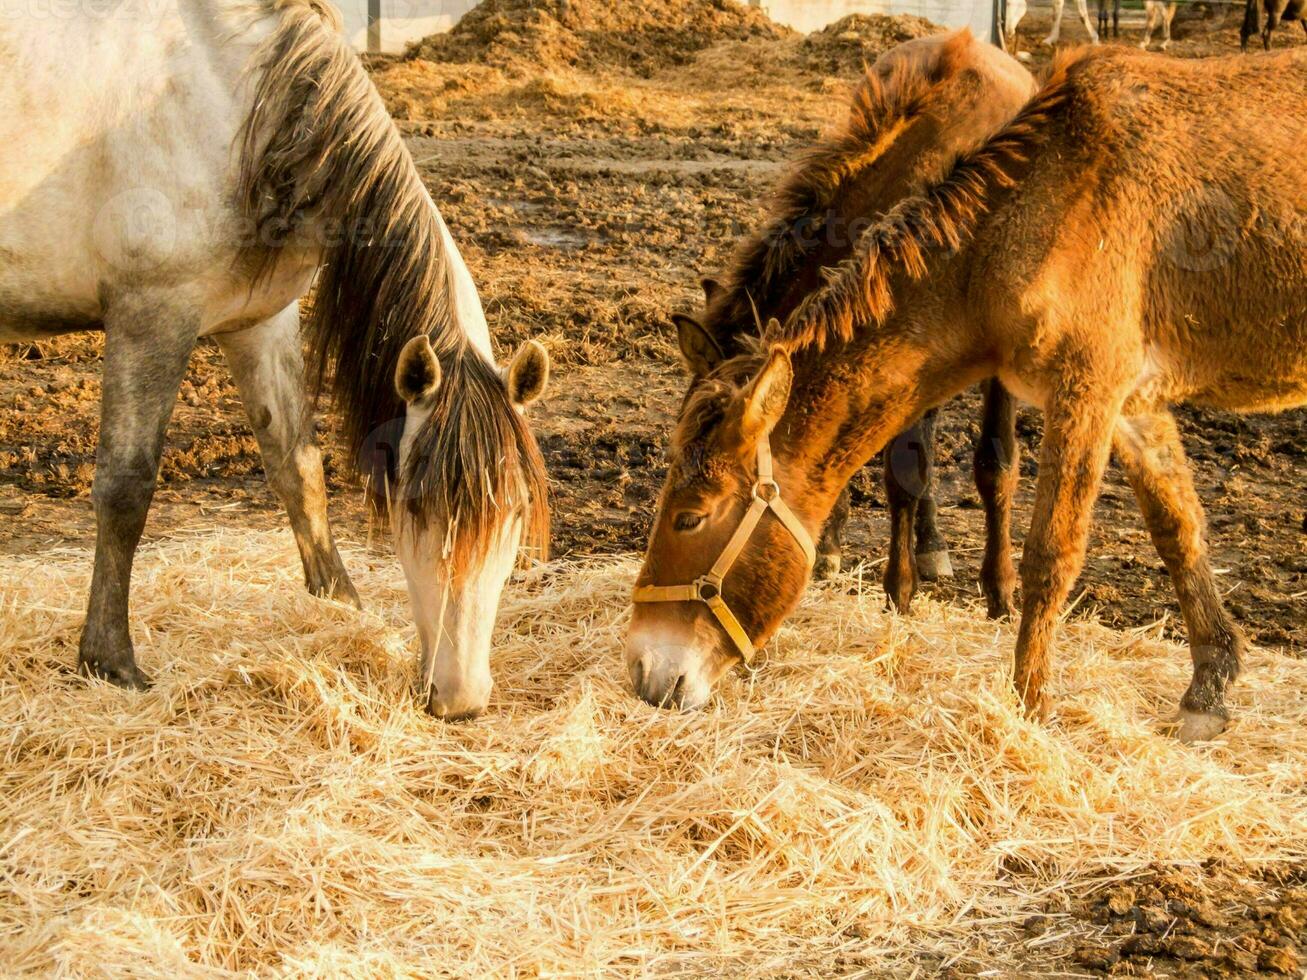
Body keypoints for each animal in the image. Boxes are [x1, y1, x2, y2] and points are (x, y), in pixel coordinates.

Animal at [0, 0, 548, 721]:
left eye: (515, 511)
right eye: (416, 507)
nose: (460, 699)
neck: (235, 103)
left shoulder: (260, 323)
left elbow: (299, 470)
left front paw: (341, 604)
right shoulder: (152, 317)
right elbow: (125, 490)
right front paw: (109, 660)